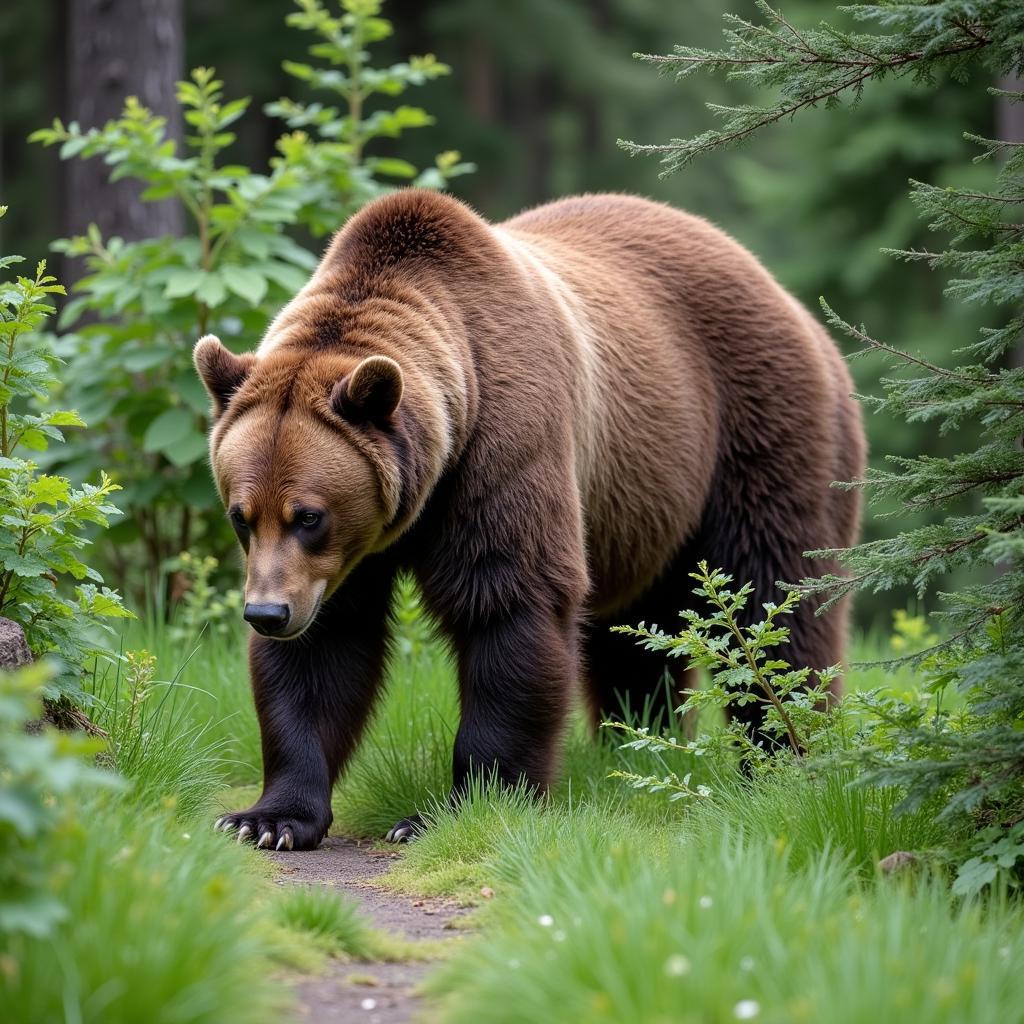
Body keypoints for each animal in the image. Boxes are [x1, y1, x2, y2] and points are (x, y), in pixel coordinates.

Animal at [192, 190, 864, 847]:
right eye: (241, 516)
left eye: (309, 516)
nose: (266, 613)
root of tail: (792, 302)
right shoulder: (342, 564)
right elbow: (322, 653)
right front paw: (269, 817)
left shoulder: (505, 445)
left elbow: (510, 606)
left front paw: (457, 806)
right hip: (644, 505)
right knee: (635, 637)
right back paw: (640, 740)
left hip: (757, 429)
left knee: (774, 594)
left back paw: (783, 754)